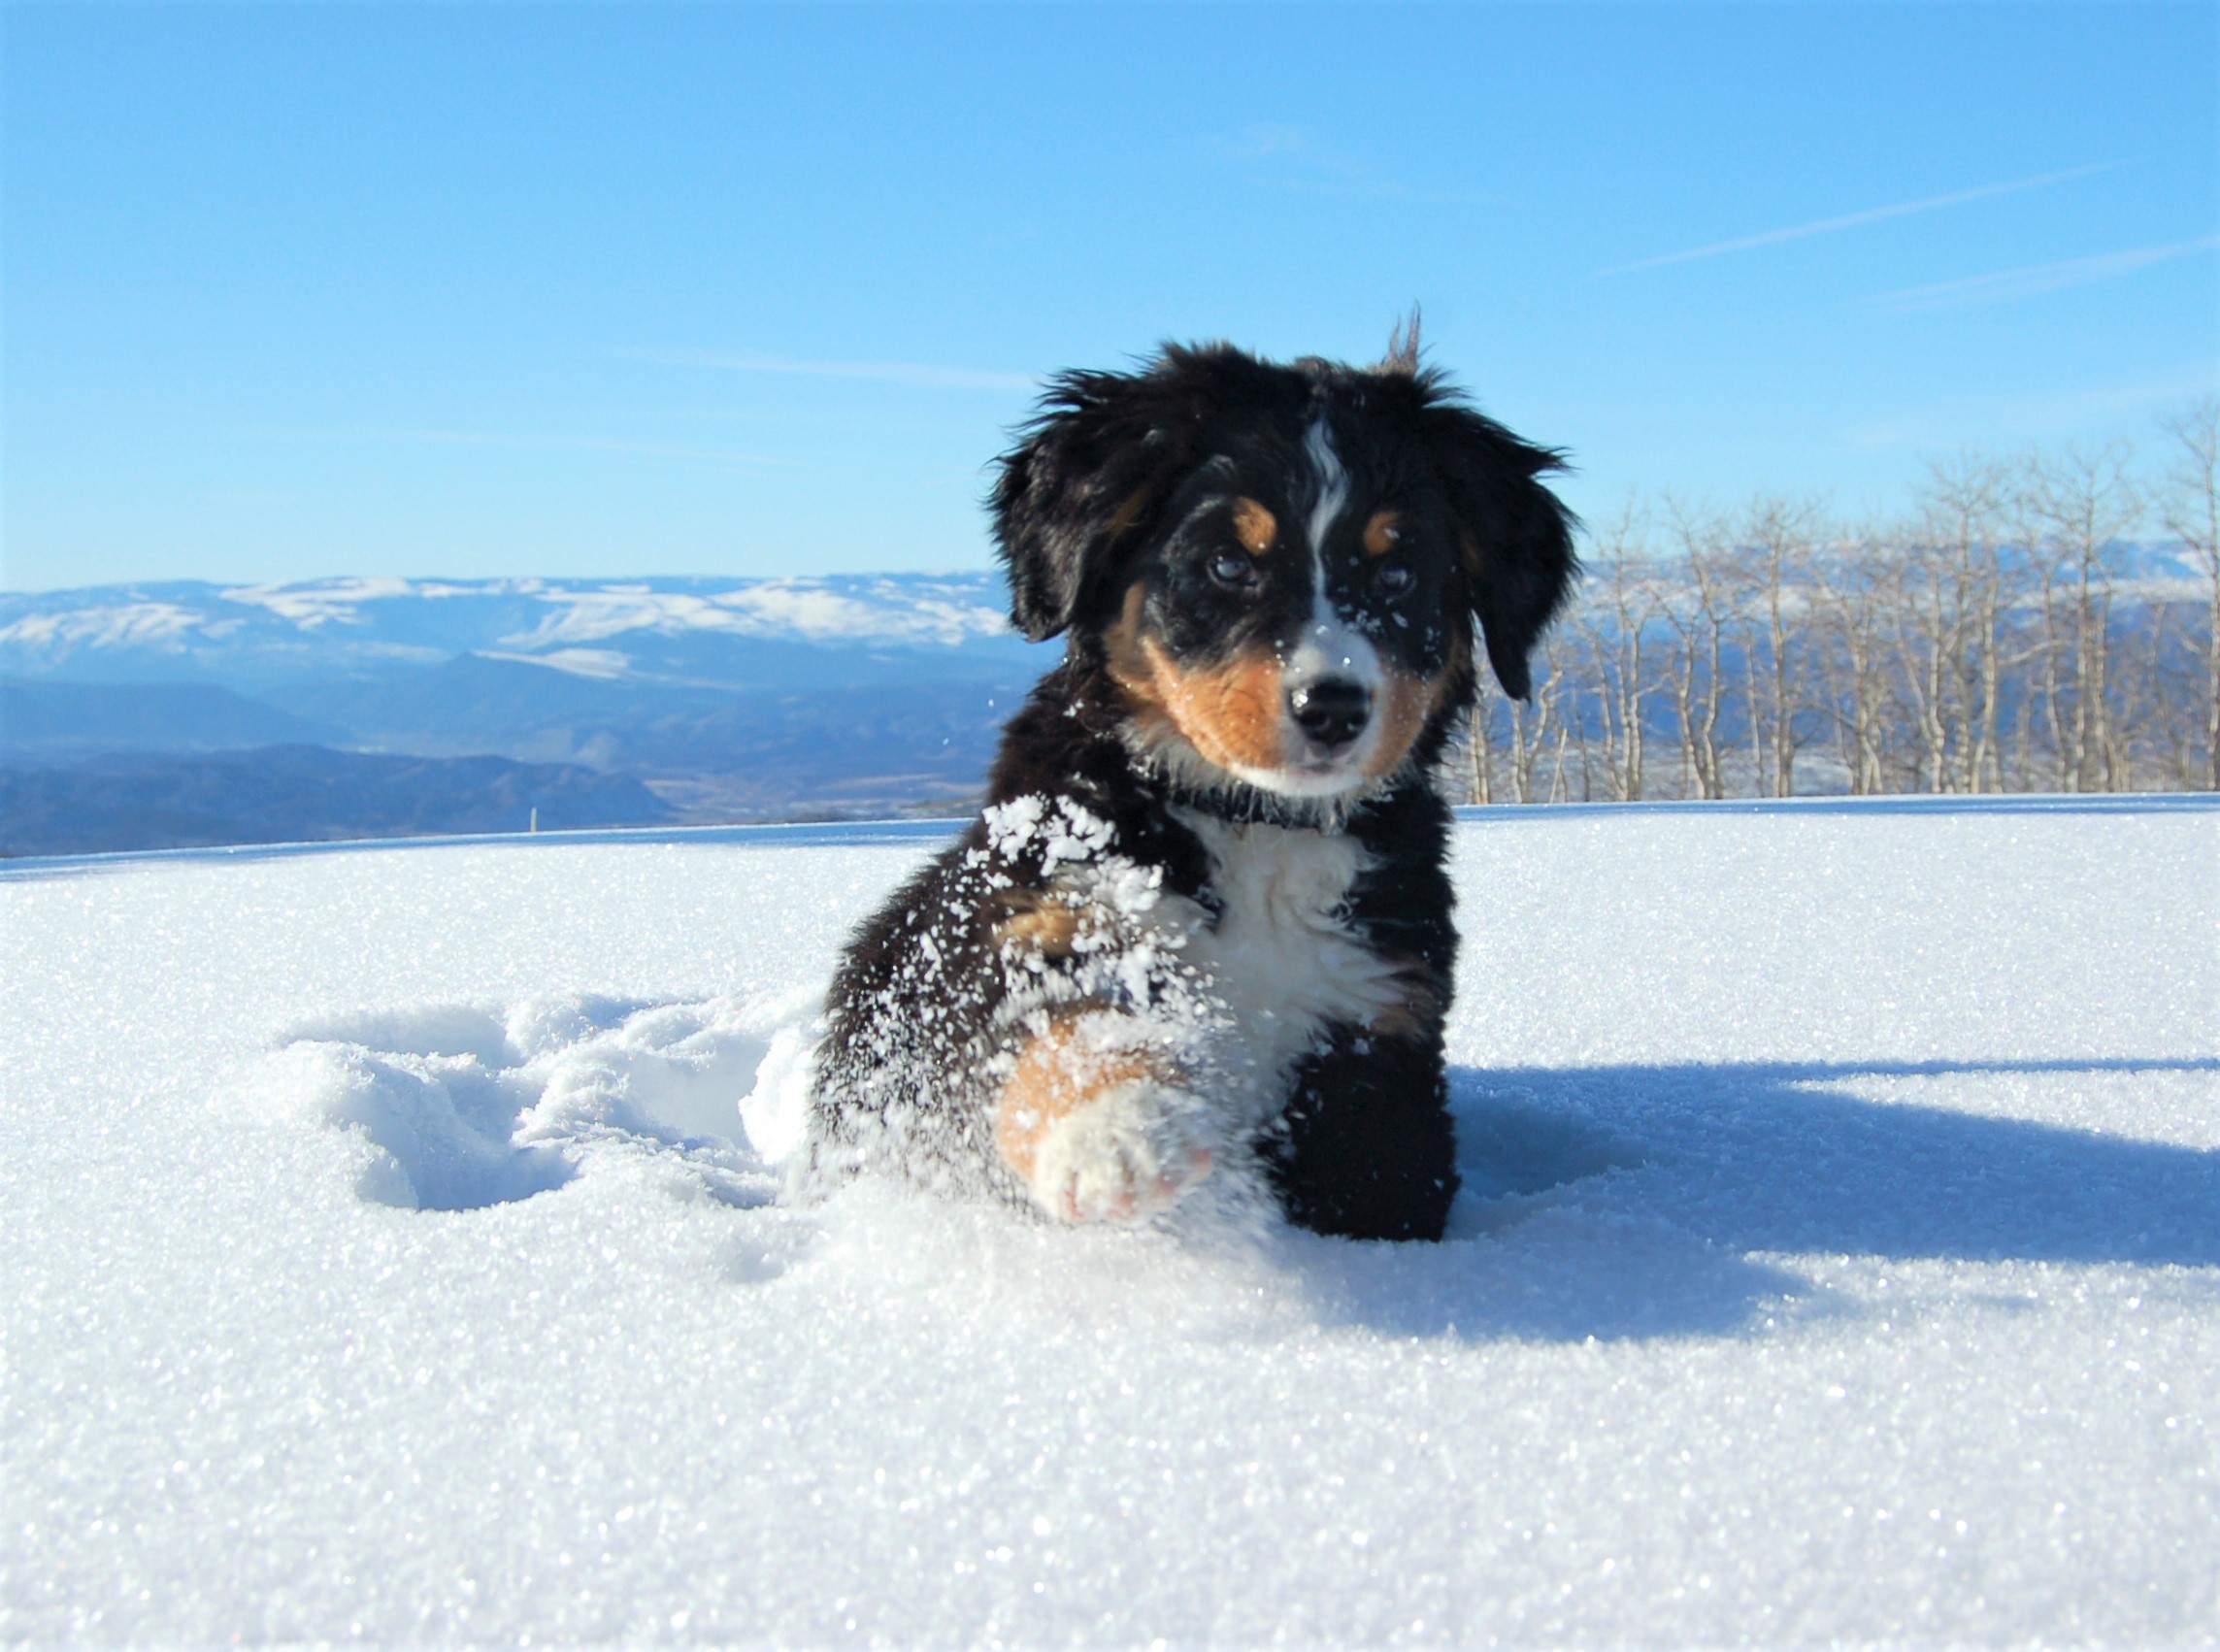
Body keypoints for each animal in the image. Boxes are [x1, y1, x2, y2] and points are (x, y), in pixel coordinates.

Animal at [808, 340, 1572, 1243]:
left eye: (1399, 576)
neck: (1256, 828)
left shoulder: (1377, 1023)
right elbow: (1063, 1030)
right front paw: (1121, 1136)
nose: (1332, 707)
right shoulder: (1033, 924)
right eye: (1227, 563)